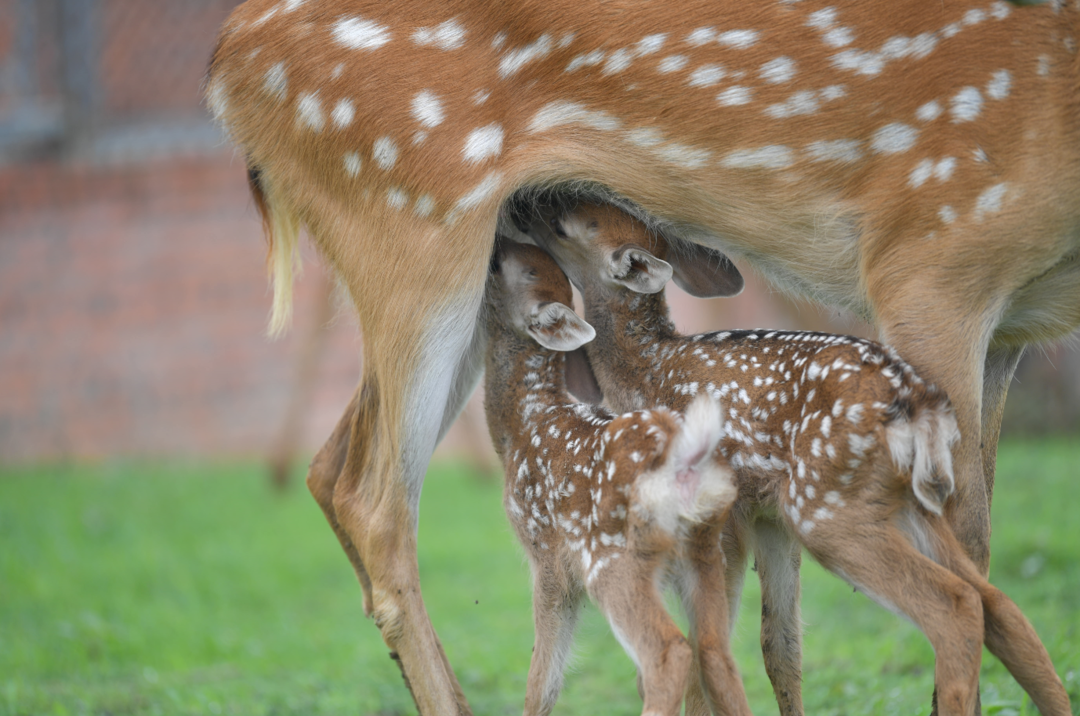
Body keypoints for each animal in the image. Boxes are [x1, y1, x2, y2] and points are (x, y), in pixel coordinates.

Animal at [486, 241, 747, 716]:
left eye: (503, 266)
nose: (498, 243)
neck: (521, 424)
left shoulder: (547, 555)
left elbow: (541, 680)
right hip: (703, 550)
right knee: (716, 652)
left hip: (613, 558)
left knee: (669, 652)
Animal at [527, 199, 1067, 716]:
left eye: (569, 222)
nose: (535, 206)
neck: (646, 370)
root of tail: (919, 402)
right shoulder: (768, 517)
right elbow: (780, 644)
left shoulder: (728, 515)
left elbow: (712, 642)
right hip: (902, 503)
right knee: (999, 603)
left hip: (826, 505)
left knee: (954, 604)